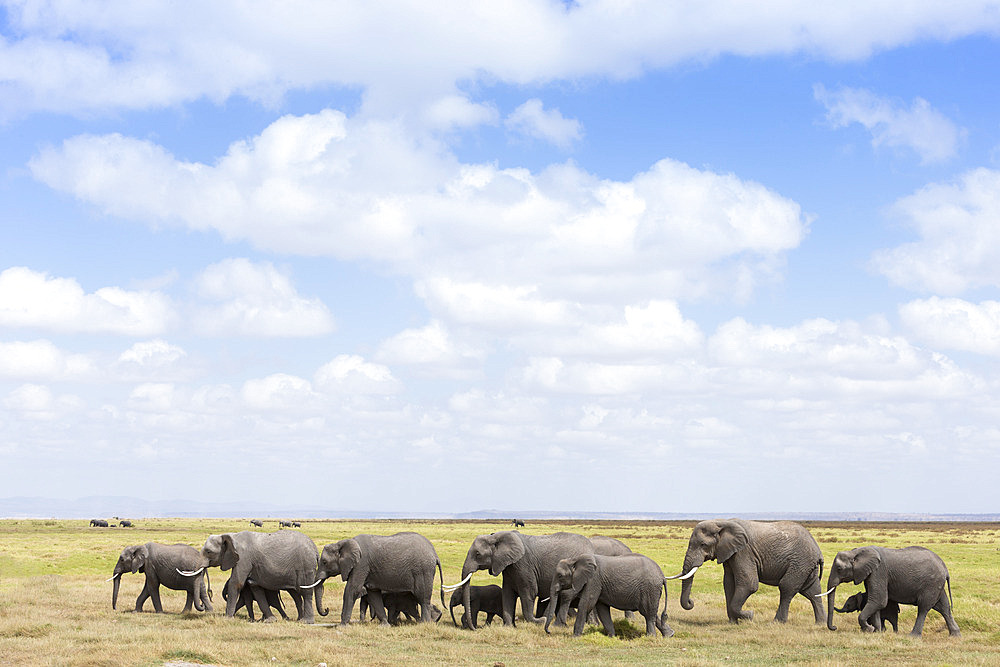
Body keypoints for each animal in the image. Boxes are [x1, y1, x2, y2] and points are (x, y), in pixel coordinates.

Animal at [314, 532, 444, 628]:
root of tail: (435, 554)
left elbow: (352, 589)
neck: (342, 542)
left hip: (423, 570)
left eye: (324, 562)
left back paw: (424, 624)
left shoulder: (361, 564)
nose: (326, 609)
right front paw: (385, 626)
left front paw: (342, 626)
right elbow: (373, 594)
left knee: (422, 597)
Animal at [544, 552, 676, 640]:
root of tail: (662, 576)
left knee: (647, 613)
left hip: (649, 588)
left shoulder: (594, 579)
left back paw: (650, 637)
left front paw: (574, 638)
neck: (574, 559)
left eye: (560, 576)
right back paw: (669, 635)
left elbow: (586, 604)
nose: (549, 632)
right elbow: (602, 609)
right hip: (651, 590)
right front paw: (612, 637)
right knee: (651, 612)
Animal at [668, 520, 824, 628]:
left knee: (786, 587)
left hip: (800, 562)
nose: (691, 602)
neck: (721, 522)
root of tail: (818, 551)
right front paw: (733, 623)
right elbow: (728, 584)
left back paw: (777, 623)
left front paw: (750, 615)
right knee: (812, 591)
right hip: (806, 566)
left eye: (703, 545)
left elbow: (749, 584)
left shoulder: (743, 552)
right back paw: (819, 624)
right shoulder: (729, 554)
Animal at [820, 544, 960, 640]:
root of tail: (945, 568)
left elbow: (879, 600)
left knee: (924, 608)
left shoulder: (879, 572)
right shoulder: (870, 574)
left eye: (839, 568)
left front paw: (869, 629)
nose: (834, 627)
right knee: (944, 607)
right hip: (936, 584)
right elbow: (874, 600)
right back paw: (955, 635)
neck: (856, 552)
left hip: (931, 584)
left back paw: (913, 636)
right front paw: (877, 631)